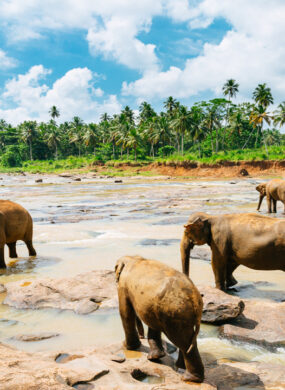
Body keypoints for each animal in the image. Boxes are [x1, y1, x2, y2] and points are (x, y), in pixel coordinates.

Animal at [114, 254, 203, 382]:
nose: (142, 336)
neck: (133, 257)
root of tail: (195, 299)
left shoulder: (123, 286)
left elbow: (125, 312)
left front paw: (128, 347)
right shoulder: (152, 305)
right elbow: (152, 324)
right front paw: (155, 357)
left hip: (174, 314)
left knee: (183, 342)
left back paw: (189, 378)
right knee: (189, 340)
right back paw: (181, 368)